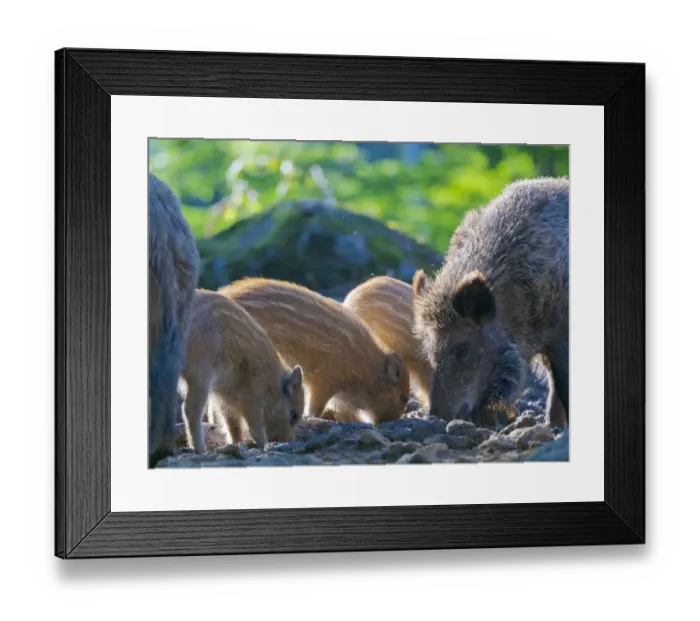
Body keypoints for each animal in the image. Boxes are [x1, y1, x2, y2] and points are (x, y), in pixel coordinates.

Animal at [180, 290, 304, 453]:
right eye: (294, 415)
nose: (289, 442)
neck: (272, 384)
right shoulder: (252, 396)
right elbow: (255, 426)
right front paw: (265, 445)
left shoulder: (222, 399)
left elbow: (231, 423)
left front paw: (237, 444)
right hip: (201, 374)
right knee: (189, 409)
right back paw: (201, 450)